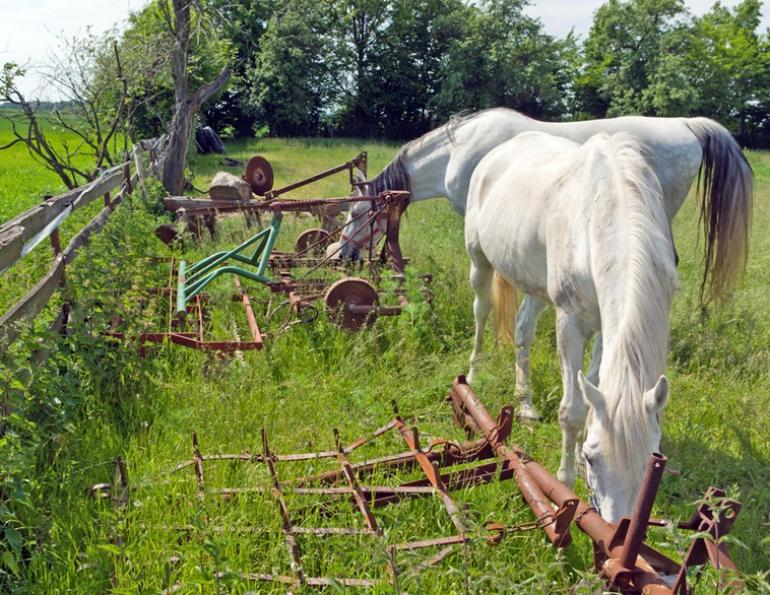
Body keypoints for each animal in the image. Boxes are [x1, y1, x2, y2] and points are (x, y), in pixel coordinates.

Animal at [466, 131, 678, 521]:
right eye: (595, 459)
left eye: (650, 465)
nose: (615, 528)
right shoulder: (571, 321)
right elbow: (574, 409)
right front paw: (563, 484)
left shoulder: (604, 327)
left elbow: (592, 388)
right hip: (480, 262)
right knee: (482, 312)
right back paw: (472, 374)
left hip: (534, 284)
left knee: (523, 330)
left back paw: (526, 405)